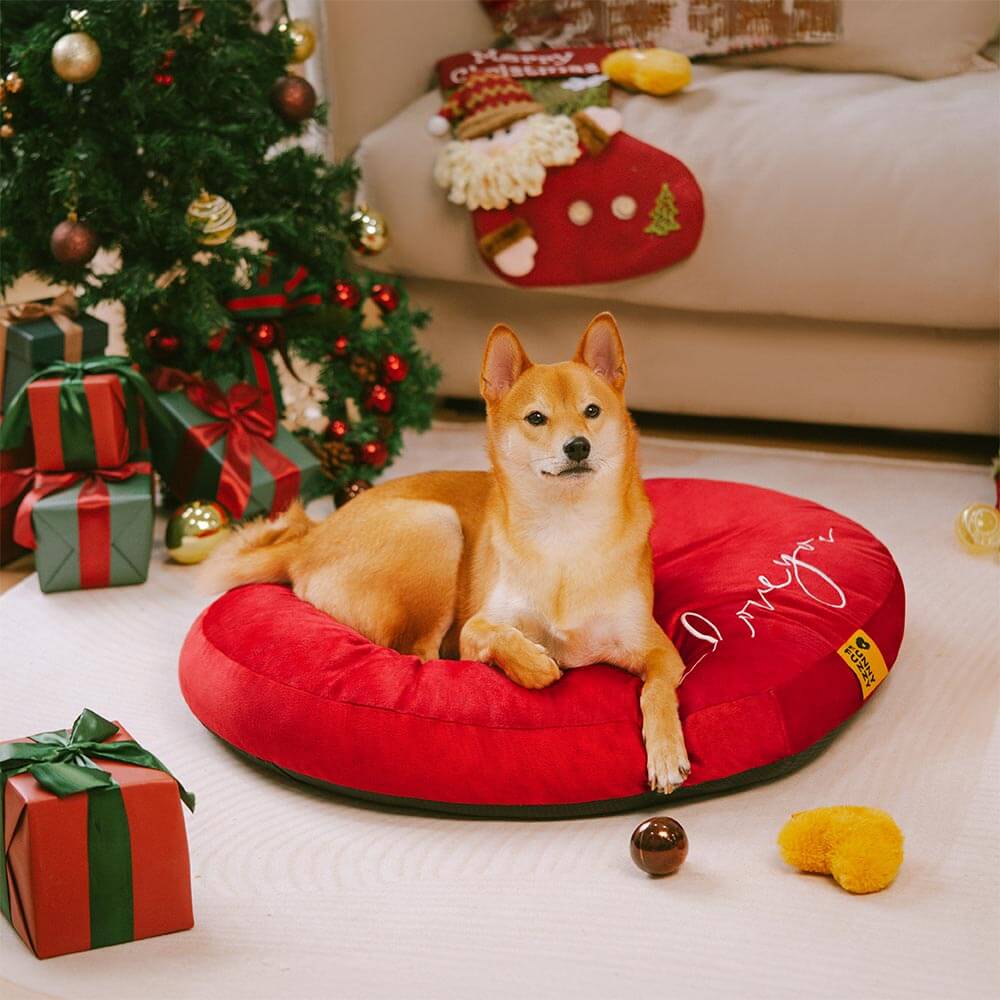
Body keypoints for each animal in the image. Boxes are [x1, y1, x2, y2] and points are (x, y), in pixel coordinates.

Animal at [207, 312, 692, 788]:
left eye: (592, 411)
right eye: (536, 418)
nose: (578, 446)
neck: (565, 532)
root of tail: (310, 540)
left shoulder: (659, 651)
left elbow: (656, 692)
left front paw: (667, 752)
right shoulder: (478, 625)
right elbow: (494, 634)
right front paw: (534, 665)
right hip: (437, 526)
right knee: (421, 654)